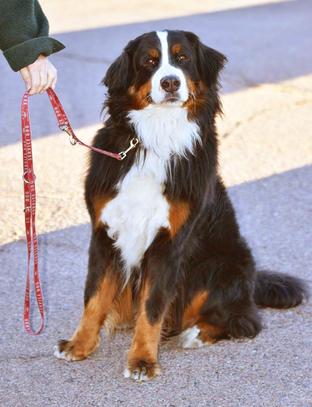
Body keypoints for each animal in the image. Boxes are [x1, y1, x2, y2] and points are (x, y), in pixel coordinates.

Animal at [53, 29, 308, 382]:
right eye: (149, 61)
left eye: (182, 58)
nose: (170, 82)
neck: (156, 138)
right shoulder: (104, 232)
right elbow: (93, 297)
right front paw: (80, 345)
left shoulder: (170, 241)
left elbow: (152, 306)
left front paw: (142, 360)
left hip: (221, 264)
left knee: (243, 321)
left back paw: (194, 335)